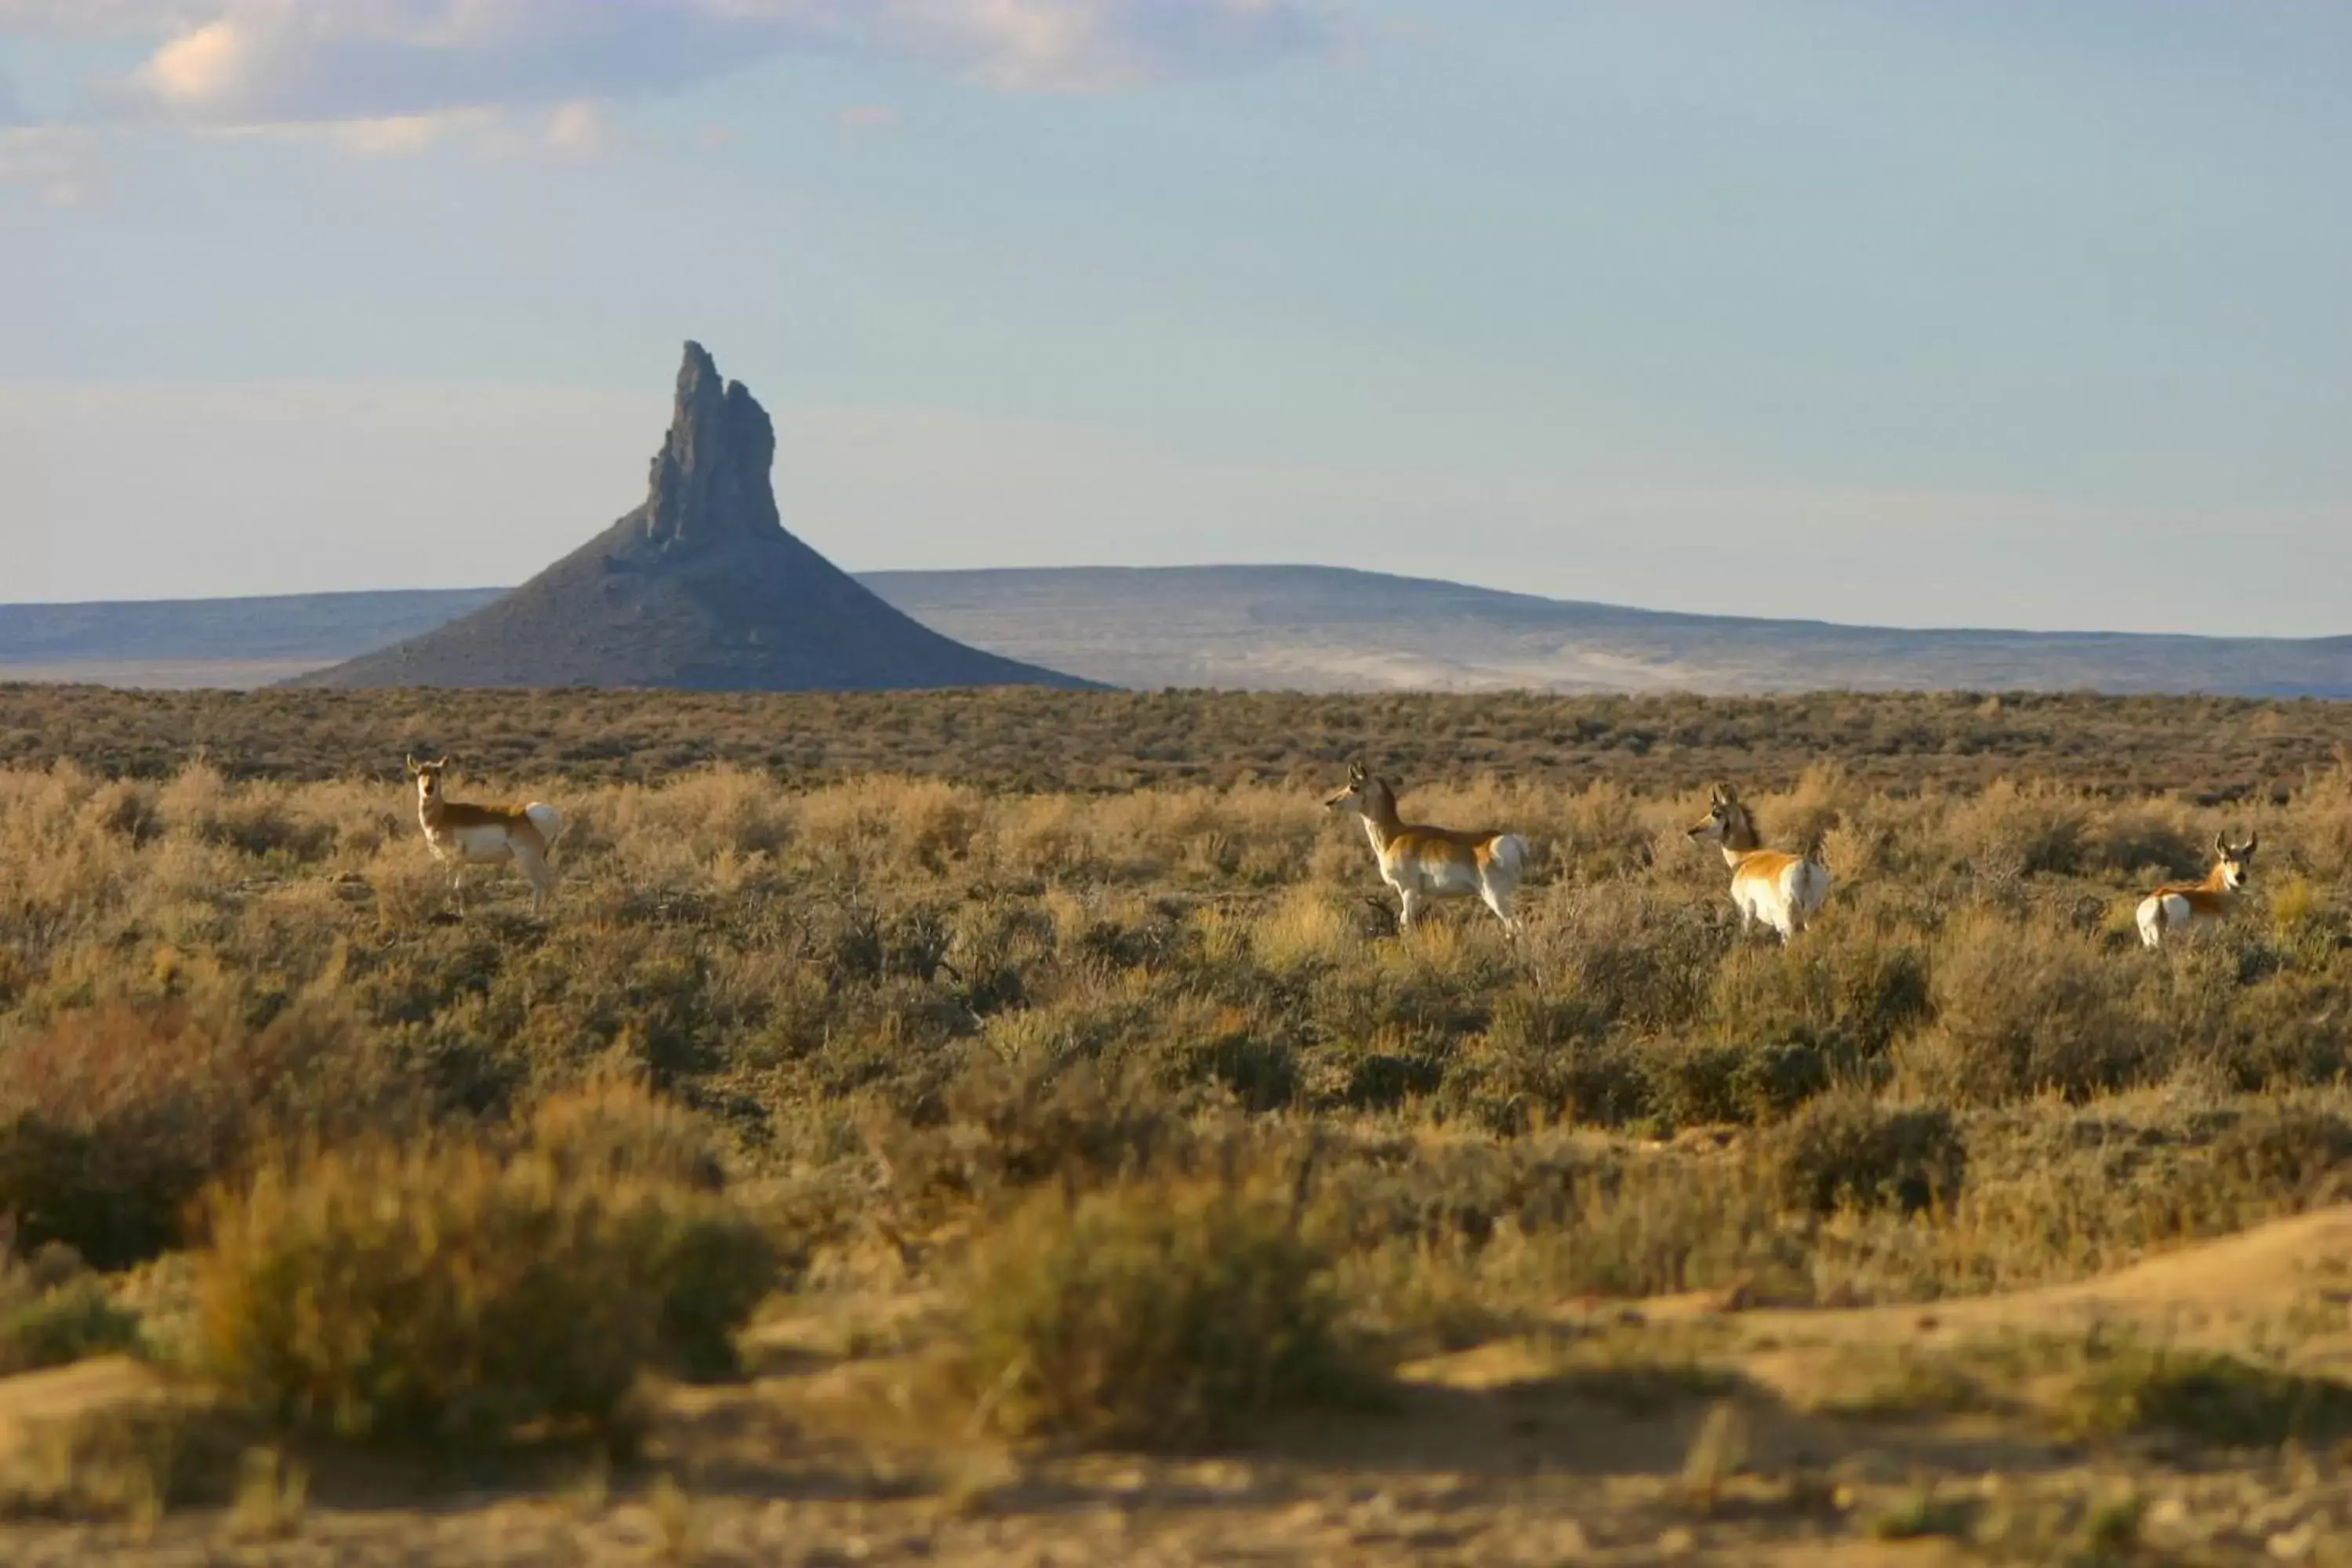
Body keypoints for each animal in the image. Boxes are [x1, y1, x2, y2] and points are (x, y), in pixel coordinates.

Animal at [407, 761, 562, 921]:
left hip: (528, 858)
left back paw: (537, 916)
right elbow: (458, 886)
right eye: (419, 773)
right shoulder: (461, 862)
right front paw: (461, 912)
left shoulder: (451, 860)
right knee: (545, 882)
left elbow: (449, 886)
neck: (444, 814)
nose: (428, 789)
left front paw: (451, 911)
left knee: (541, 883)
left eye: (438, 772)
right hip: (537, 858)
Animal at [1327, 761, 1524, 931]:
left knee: (1514, 926)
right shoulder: (1420, 896)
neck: (1395, 837)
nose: (1329, 802)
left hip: (1495, 896)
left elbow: (1406, 922)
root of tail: (1503, 840)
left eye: (1354, 786)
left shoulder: (1408, 891)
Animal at [1693, 785, 1835, 945]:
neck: (1748, 857)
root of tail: (1804, 866)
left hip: (1788, 924)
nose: (1691, 831)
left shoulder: (1746, 911)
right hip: (1810, 916)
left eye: (1716, 813)